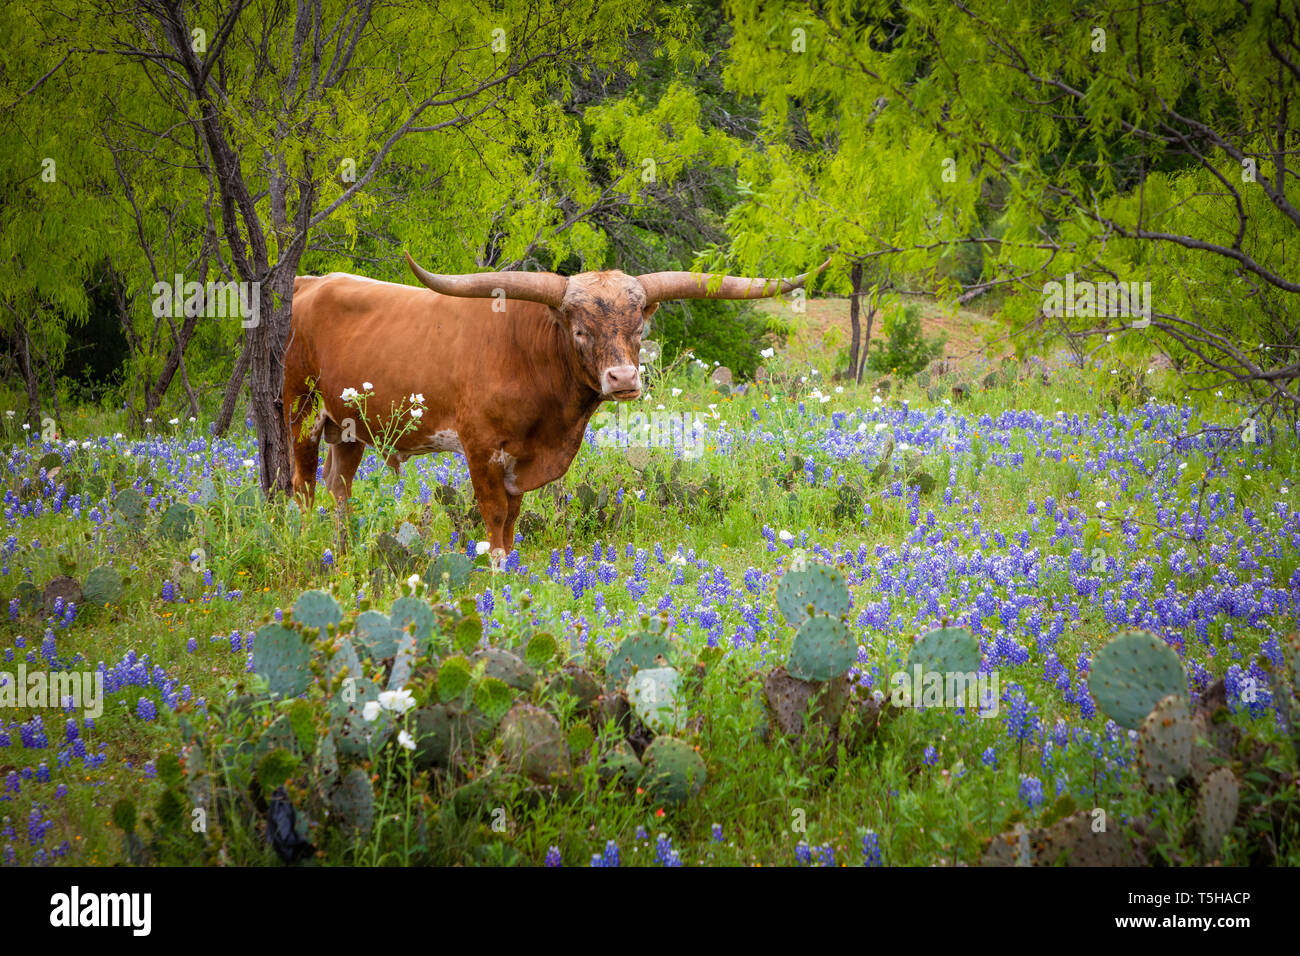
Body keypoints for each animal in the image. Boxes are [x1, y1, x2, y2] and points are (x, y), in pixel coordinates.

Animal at [288, 254, 821, 561]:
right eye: (580, 330)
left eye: (639, 327)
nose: (624, 379)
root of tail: (306, 282)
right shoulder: (480, 447)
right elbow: (492, 514)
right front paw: (497, 569)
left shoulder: (521, 461)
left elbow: (512, 517)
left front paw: (510, 562)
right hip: (300, 409)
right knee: (304, 484)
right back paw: (309, 542)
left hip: (347, 426)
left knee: (339, 486)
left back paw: (341, 549)